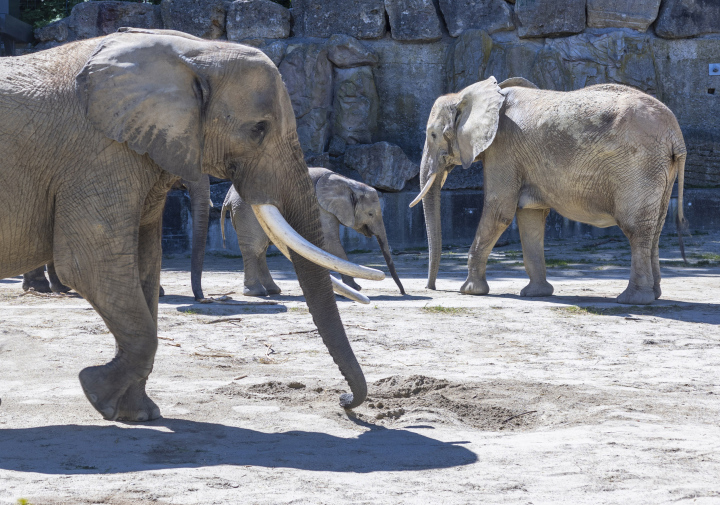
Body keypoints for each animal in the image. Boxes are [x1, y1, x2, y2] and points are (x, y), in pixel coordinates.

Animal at [0, 28, 383, 421]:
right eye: (258, 130)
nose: (344, 402)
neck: (192, 52)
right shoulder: (97, 153)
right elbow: (89, 264)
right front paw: (95, 391)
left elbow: (146, 263)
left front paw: (138, 415)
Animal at [220, 167, 405, 297]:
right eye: (370, 214)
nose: (403, 292)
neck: (347, 182)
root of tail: (227, 197)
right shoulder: (320, 206)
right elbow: (330, 243)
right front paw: (355, 288)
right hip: (247, 211)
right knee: (254, 248)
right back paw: (257, 293)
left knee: (261, 250)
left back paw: (273, 291)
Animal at [411, 76, 686, 305]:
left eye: (433, 134)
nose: (431, 288)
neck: (470, 94)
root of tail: (675, 134)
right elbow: (529, 215)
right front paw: (536, 294)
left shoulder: (503, 148)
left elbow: (500, 211)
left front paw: (469, 291)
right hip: (660, 167)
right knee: (655, 228)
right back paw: (654, 295)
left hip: (639, 165)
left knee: (635, 229)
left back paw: (633, 300)